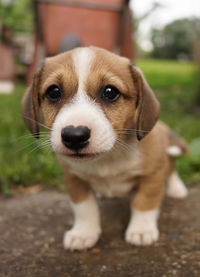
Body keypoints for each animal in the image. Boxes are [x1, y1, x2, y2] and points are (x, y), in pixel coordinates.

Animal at [21, 47, 188, 250]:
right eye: (54, 92)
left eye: (110, 92)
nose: (74, 136)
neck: (108, 157)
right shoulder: (74, 179)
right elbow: (85, 208)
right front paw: (83, 233)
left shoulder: (152, 175)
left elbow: (144, 202)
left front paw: (141, 230)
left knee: (171, 168)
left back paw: (177, 189)